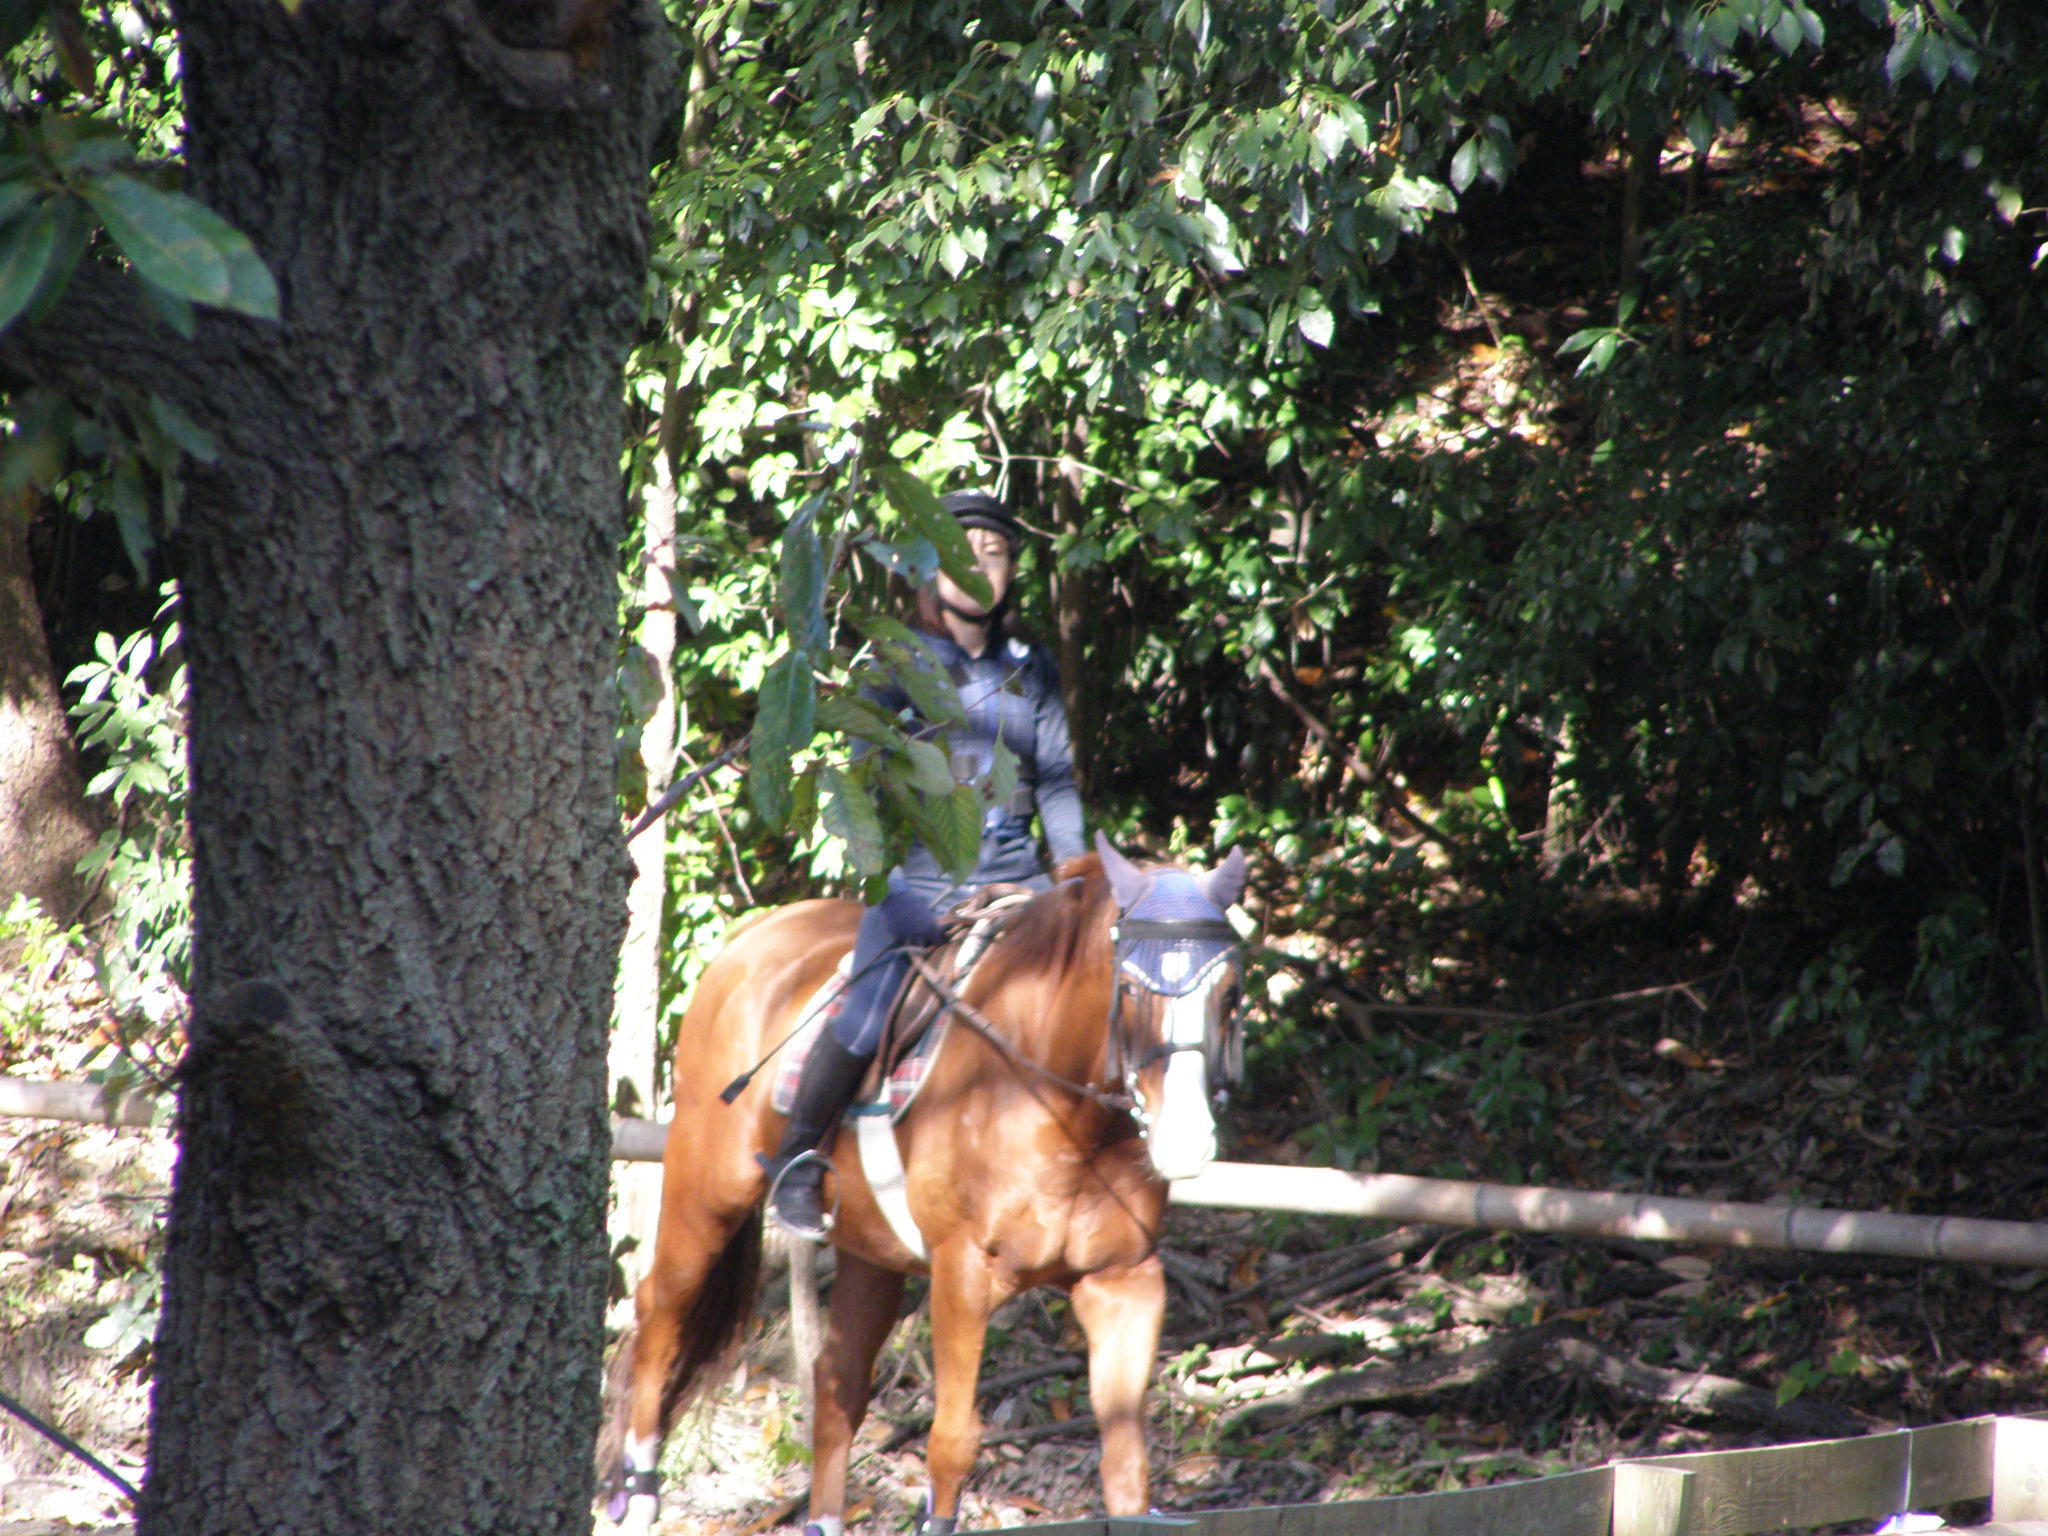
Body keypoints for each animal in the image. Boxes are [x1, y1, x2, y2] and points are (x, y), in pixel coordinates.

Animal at [605, 832, 1248, 1536]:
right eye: (1130, 989)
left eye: (1229, 993)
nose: (1186, 1142)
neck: (1062, 1109)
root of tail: (755, 934)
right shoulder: (962, 1274)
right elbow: (952, 1444)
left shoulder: (1125, 1281)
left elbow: (1126, 1457)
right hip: (706, 1195)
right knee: (659, 1309)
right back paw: (639, 1488)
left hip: (868, 1251)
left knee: (838, 1383)